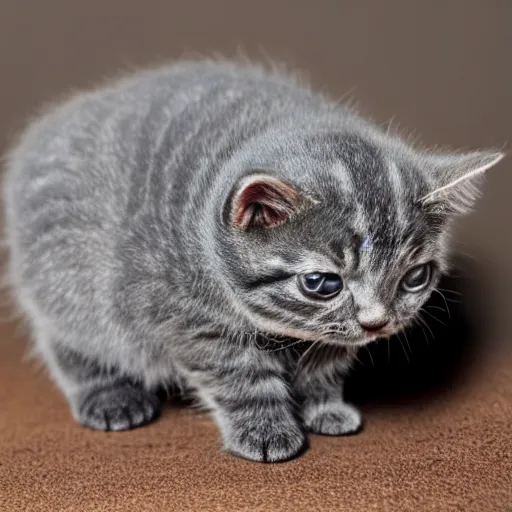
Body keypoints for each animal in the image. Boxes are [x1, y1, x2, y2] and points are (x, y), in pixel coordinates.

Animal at [2, 61, 502, 464]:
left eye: (414, 277)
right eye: (322, 283)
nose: (377, 322)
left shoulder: (333, 336)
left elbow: (325, 360)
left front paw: (325, 406)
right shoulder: (186, 316)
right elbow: (240, 373)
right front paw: (266, 429)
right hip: (70, 286)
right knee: (70, 343)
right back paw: (109, 396)